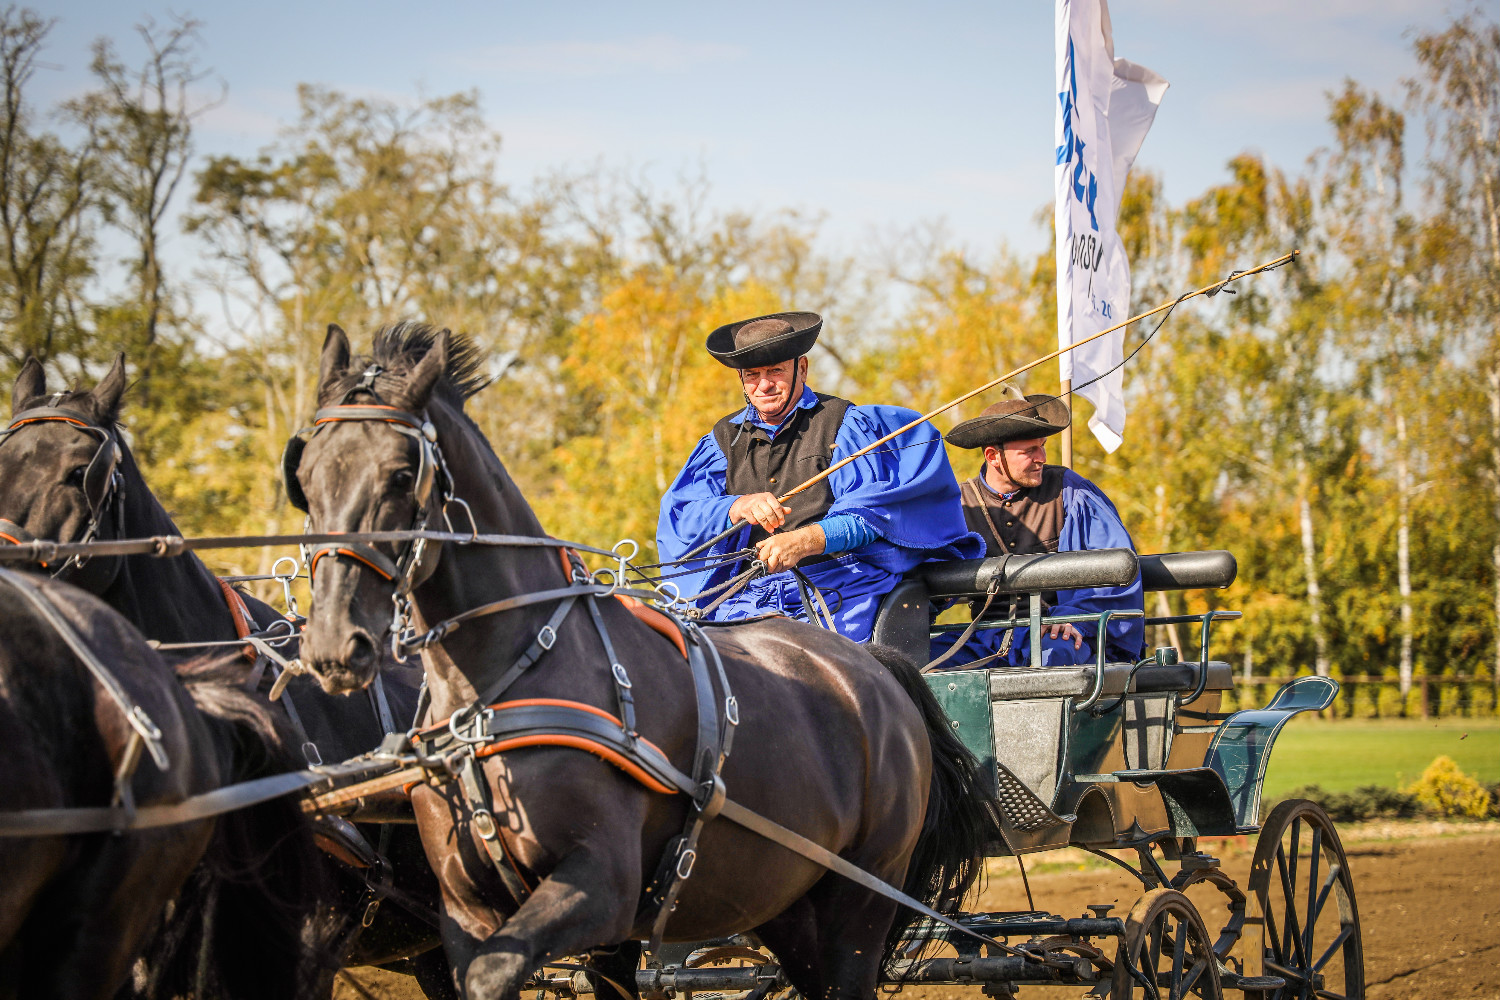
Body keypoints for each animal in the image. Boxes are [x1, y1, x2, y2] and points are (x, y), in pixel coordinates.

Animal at [289, 325, 996, 995]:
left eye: (401, 474)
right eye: (306, 479)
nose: (332, 643)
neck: (498, 692)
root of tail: (875, 664)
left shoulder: (600, 889)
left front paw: (789, 534)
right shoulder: (465, 912)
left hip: (860, 900)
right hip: (784, 900)